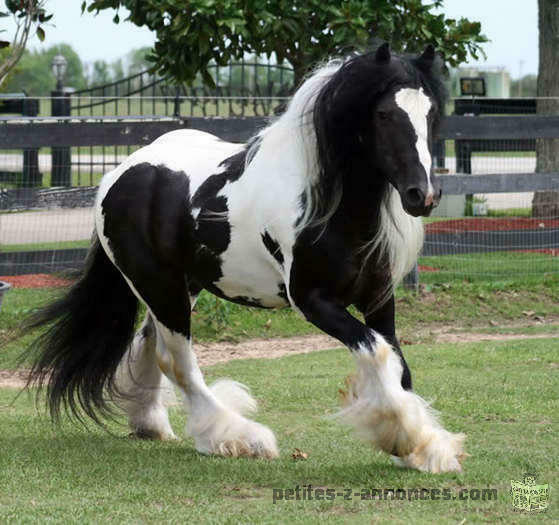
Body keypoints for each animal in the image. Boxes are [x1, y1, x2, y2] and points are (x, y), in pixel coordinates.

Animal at [24, 44, 466, 470]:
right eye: (384, 113)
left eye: (431, 113)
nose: (423, 195)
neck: (327, 206)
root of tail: (119, 175)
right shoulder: (314, 302)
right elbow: (377, 352)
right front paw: (411, 440)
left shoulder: (378, 298)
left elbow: (398, 364)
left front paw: (425, 446)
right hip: (159, 287)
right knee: (176, 361)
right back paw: (237, 437)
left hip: (181, 286)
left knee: (148, 346)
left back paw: (151, 423)